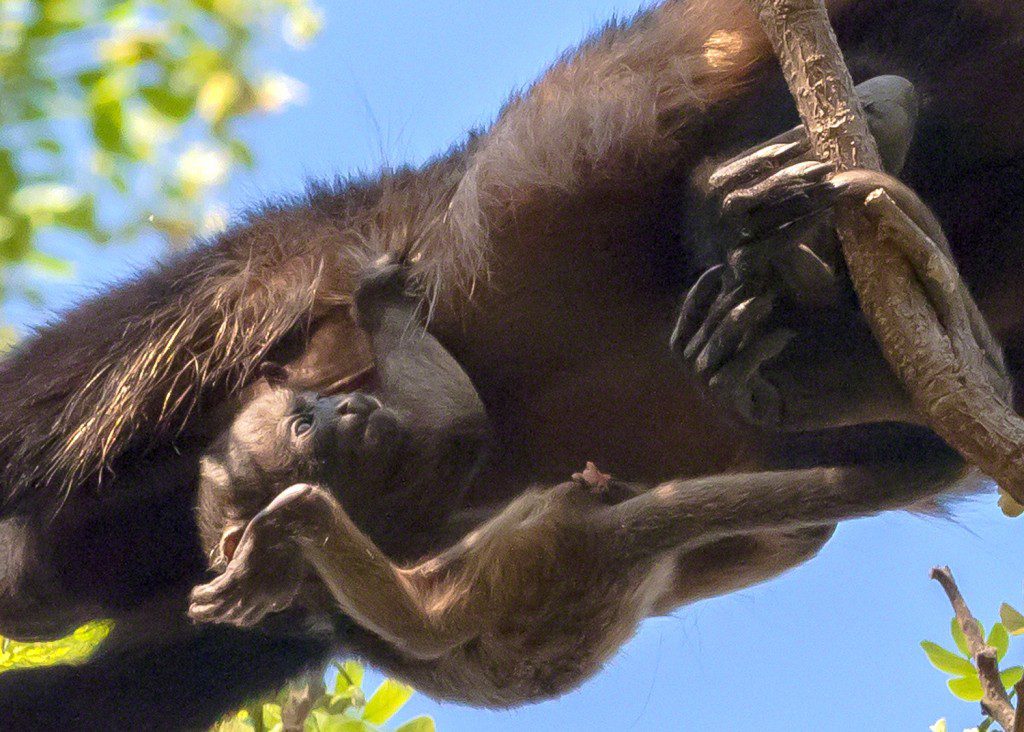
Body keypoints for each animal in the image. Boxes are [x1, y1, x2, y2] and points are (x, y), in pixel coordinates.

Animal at [188, 266, 962, 708]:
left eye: (311, 405)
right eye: (302, 428)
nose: (344, 407)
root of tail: (606, 546)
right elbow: (427, 612)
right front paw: (380, 307)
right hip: (538, 544)